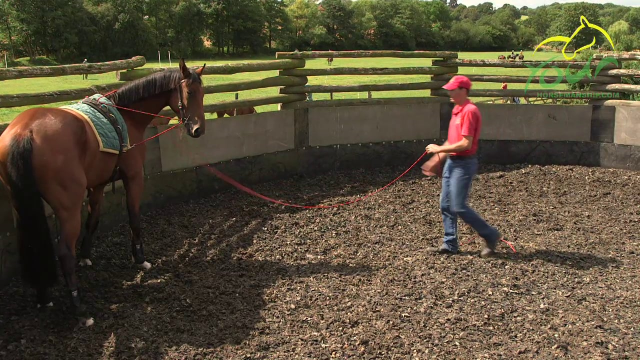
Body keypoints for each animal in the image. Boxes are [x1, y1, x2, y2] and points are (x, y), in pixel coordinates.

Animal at [0, 57, 205, 324]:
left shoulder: (96, 185)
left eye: (203, 92)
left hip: (21, 204)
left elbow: (93, 219)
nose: (198, 129)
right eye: (190, 92)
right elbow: (133, 216)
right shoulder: (134, 178)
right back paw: (79, 308)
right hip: (68, 207)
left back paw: (44, 296)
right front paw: (139, 258)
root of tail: (26, 131)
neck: (126, 116)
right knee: (64, 252)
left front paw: (86, 256)